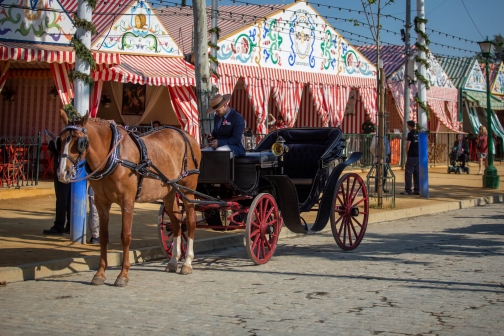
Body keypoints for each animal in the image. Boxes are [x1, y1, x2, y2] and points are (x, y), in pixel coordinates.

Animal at [56, 110, 201, 286]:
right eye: (60, 140)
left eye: (80, 142)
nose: (62, 173)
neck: (115, 156)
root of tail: (186, 135)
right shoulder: (101, 202)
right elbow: (103, 236)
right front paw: (99, 274)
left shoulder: (127, 201)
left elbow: (125, 236)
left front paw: (123, 275)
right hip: (170, 192)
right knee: (177, 222)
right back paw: (173, 261)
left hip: (187, 190)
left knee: (191, 221)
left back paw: (187, 263)